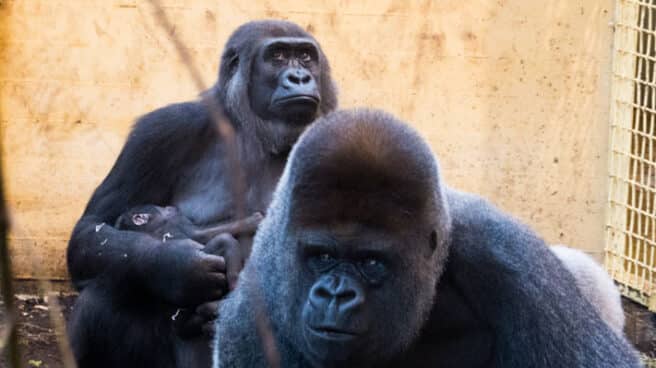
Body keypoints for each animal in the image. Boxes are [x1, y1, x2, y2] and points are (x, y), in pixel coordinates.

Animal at [67, 20, 338, 368]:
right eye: (277, 56)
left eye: (305, 57)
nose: (300, 77)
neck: (252, 129)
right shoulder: (162, 131)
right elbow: (91, 228)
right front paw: (174, 265)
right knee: (107, 287)